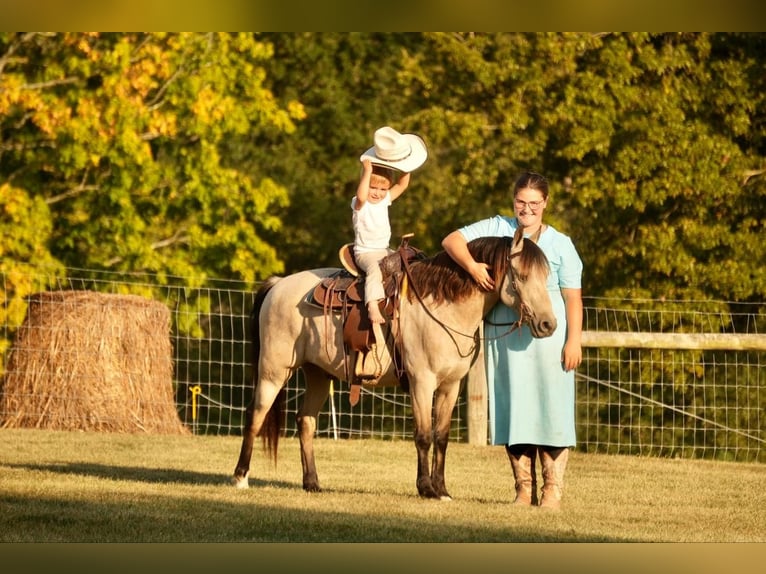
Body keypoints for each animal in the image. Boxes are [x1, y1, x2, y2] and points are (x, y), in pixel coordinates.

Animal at [232, 230, 560, 500]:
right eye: (521, 276)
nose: (549, 324)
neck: (442, 307)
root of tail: (278, 285)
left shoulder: (451, 386)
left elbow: (441, 437)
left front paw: (442, 489)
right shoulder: (421, 382)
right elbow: (424, 435)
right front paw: (426, 488)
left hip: (318, 375)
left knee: (306, 421)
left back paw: (312, 483)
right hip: (273, 371)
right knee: (256, 416)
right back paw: (240, 477)